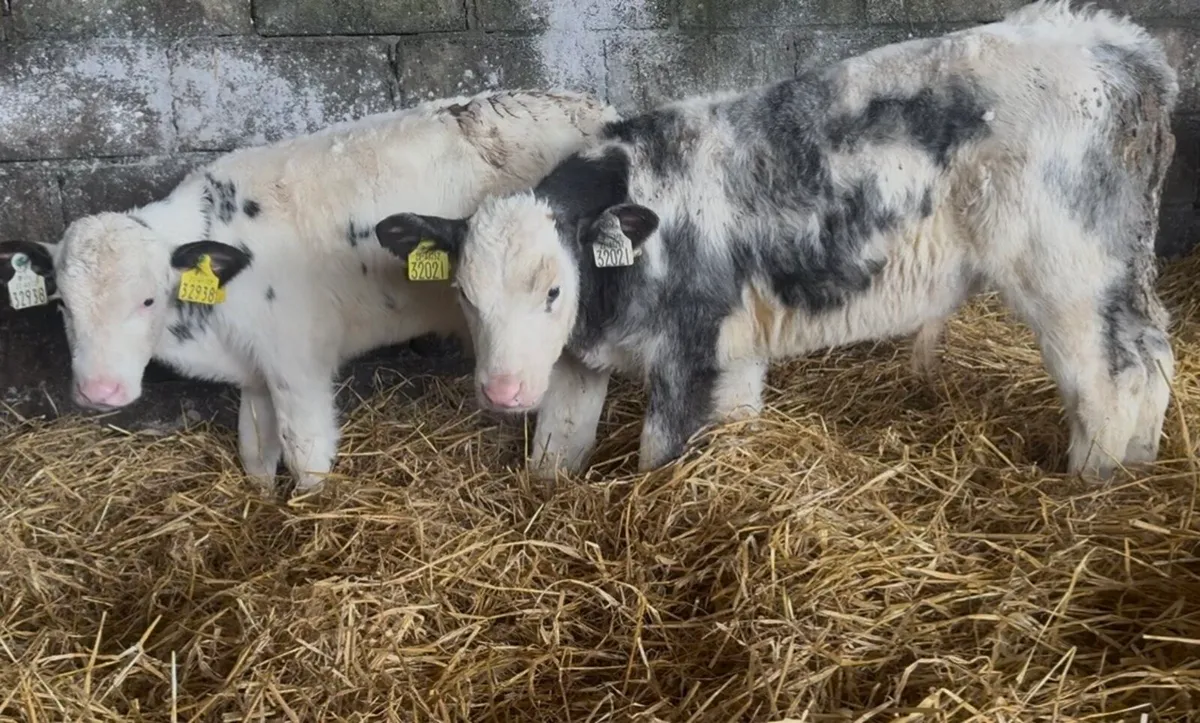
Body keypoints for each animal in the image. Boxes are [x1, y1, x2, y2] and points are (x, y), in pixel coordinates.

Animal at [0, 89, 619, 495]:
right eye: (61, 304)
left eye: (148, 299)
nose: (98, 392)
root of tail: (594, 106)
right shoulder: (254, 370)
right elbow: (254, 450)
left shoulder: (297, 365)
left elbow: (304, 453)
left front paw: (308, 512)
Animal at [373, 1, 1179, 483]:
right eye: (463, 295)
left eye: (552, 289)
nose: (502, 391)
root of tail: (1116, 42)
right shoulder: (603, 358)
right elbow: (556, 451)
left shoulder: (691, 349)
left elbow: (659, 456)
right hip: (1122, 269)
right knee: (1155, 355)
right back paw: (1140, 467)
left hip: (1066, 273)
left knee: (1108, 379)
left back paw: (1091, 486)